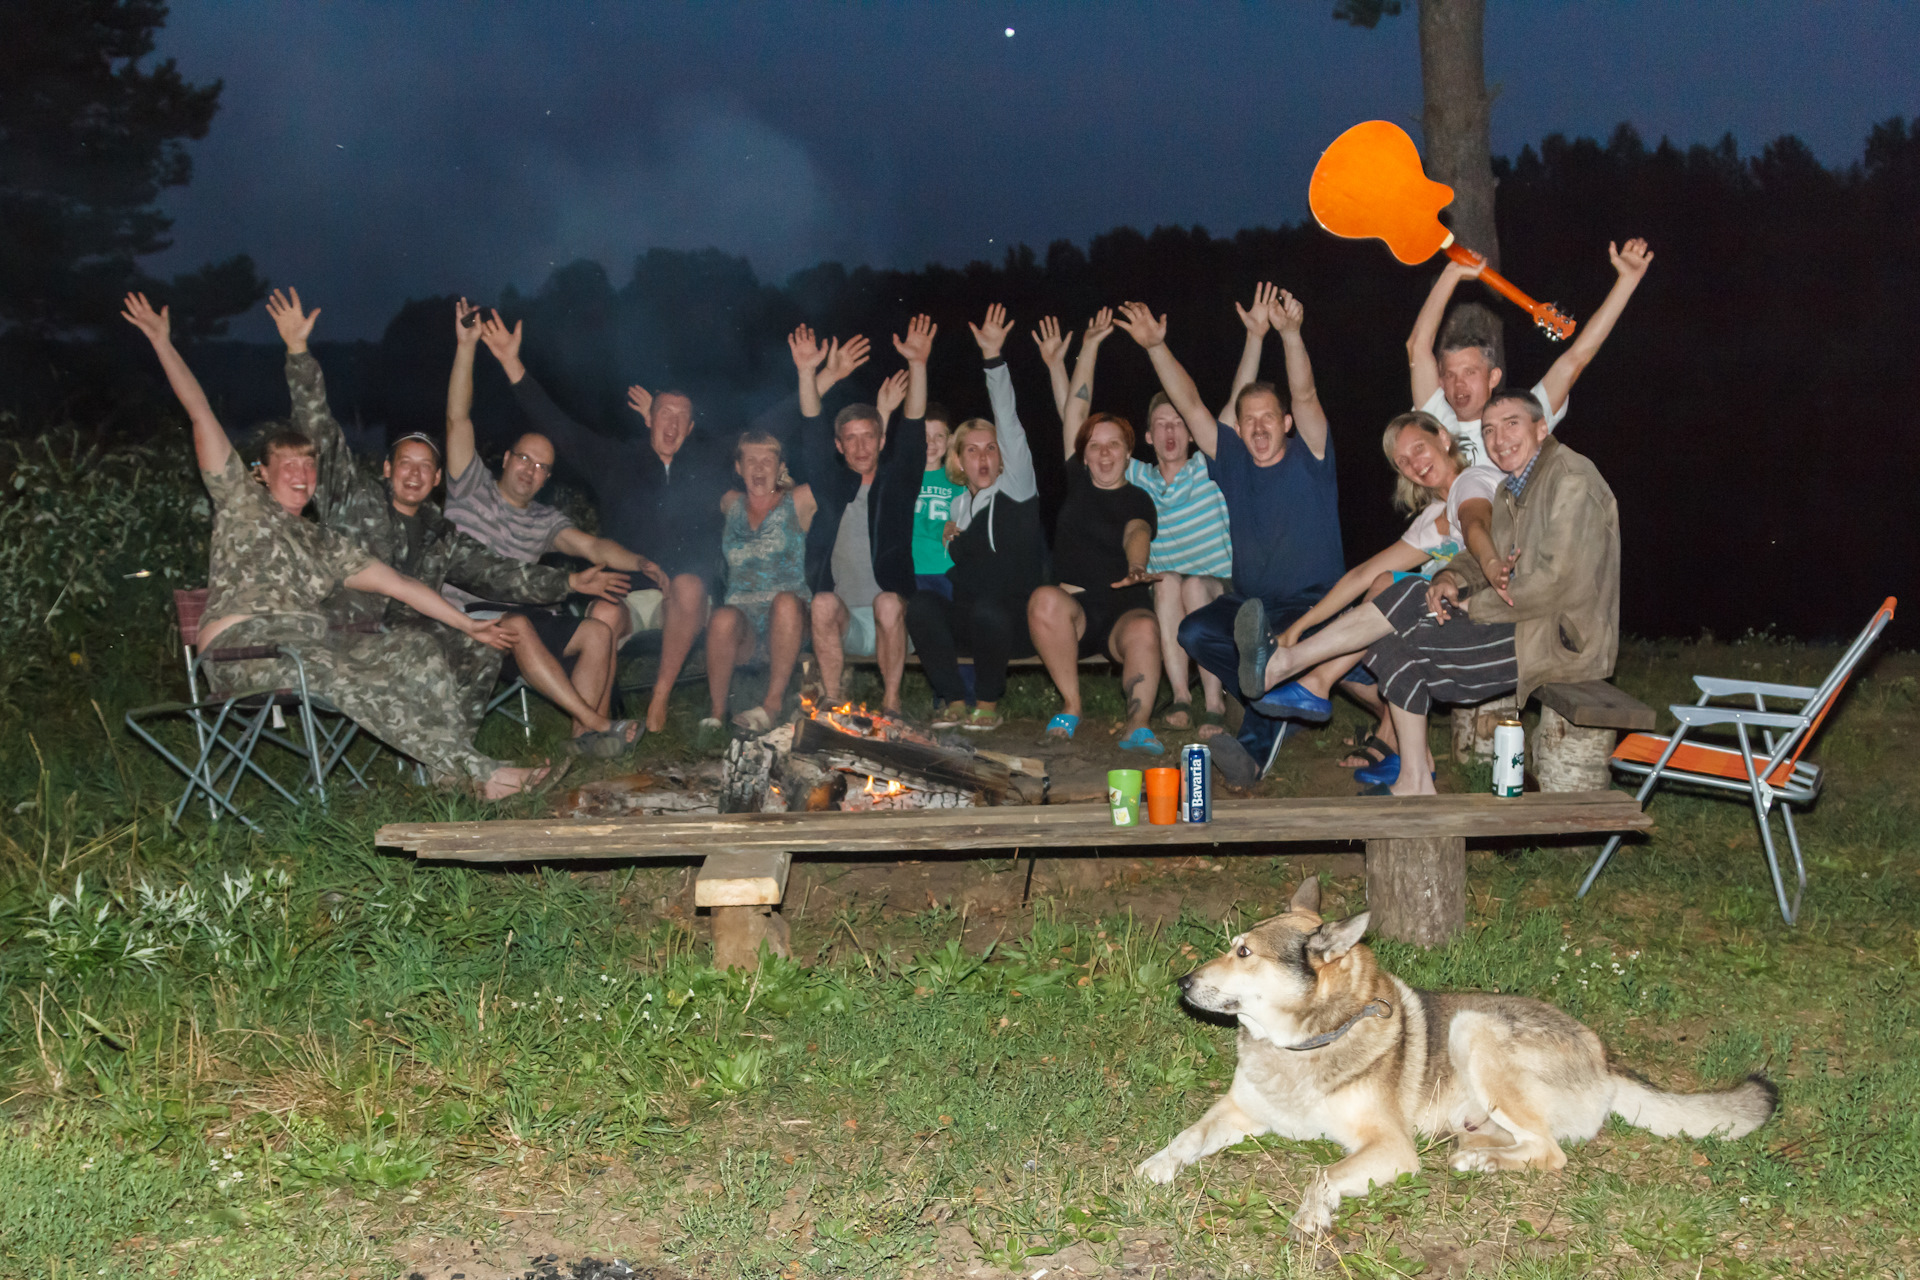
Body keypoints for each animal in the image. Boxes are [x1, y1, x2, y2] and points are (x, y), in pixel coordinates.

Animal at [1128, 886, 1774, 1235]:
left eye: (1243, 953)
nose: (1182, 981)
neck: (1308, 1043)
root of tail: (1604, 1055)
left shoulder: (1389, 1147)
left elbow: (1323, 1172)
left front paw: (1313, 1215)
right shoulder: (1237, 1110)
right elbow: (1187, 1137)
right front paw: (1154, 1166)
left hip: (1475, 1028)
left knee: (1551, 1152)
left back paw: (1482, 1162)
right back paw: (1476, 1152)